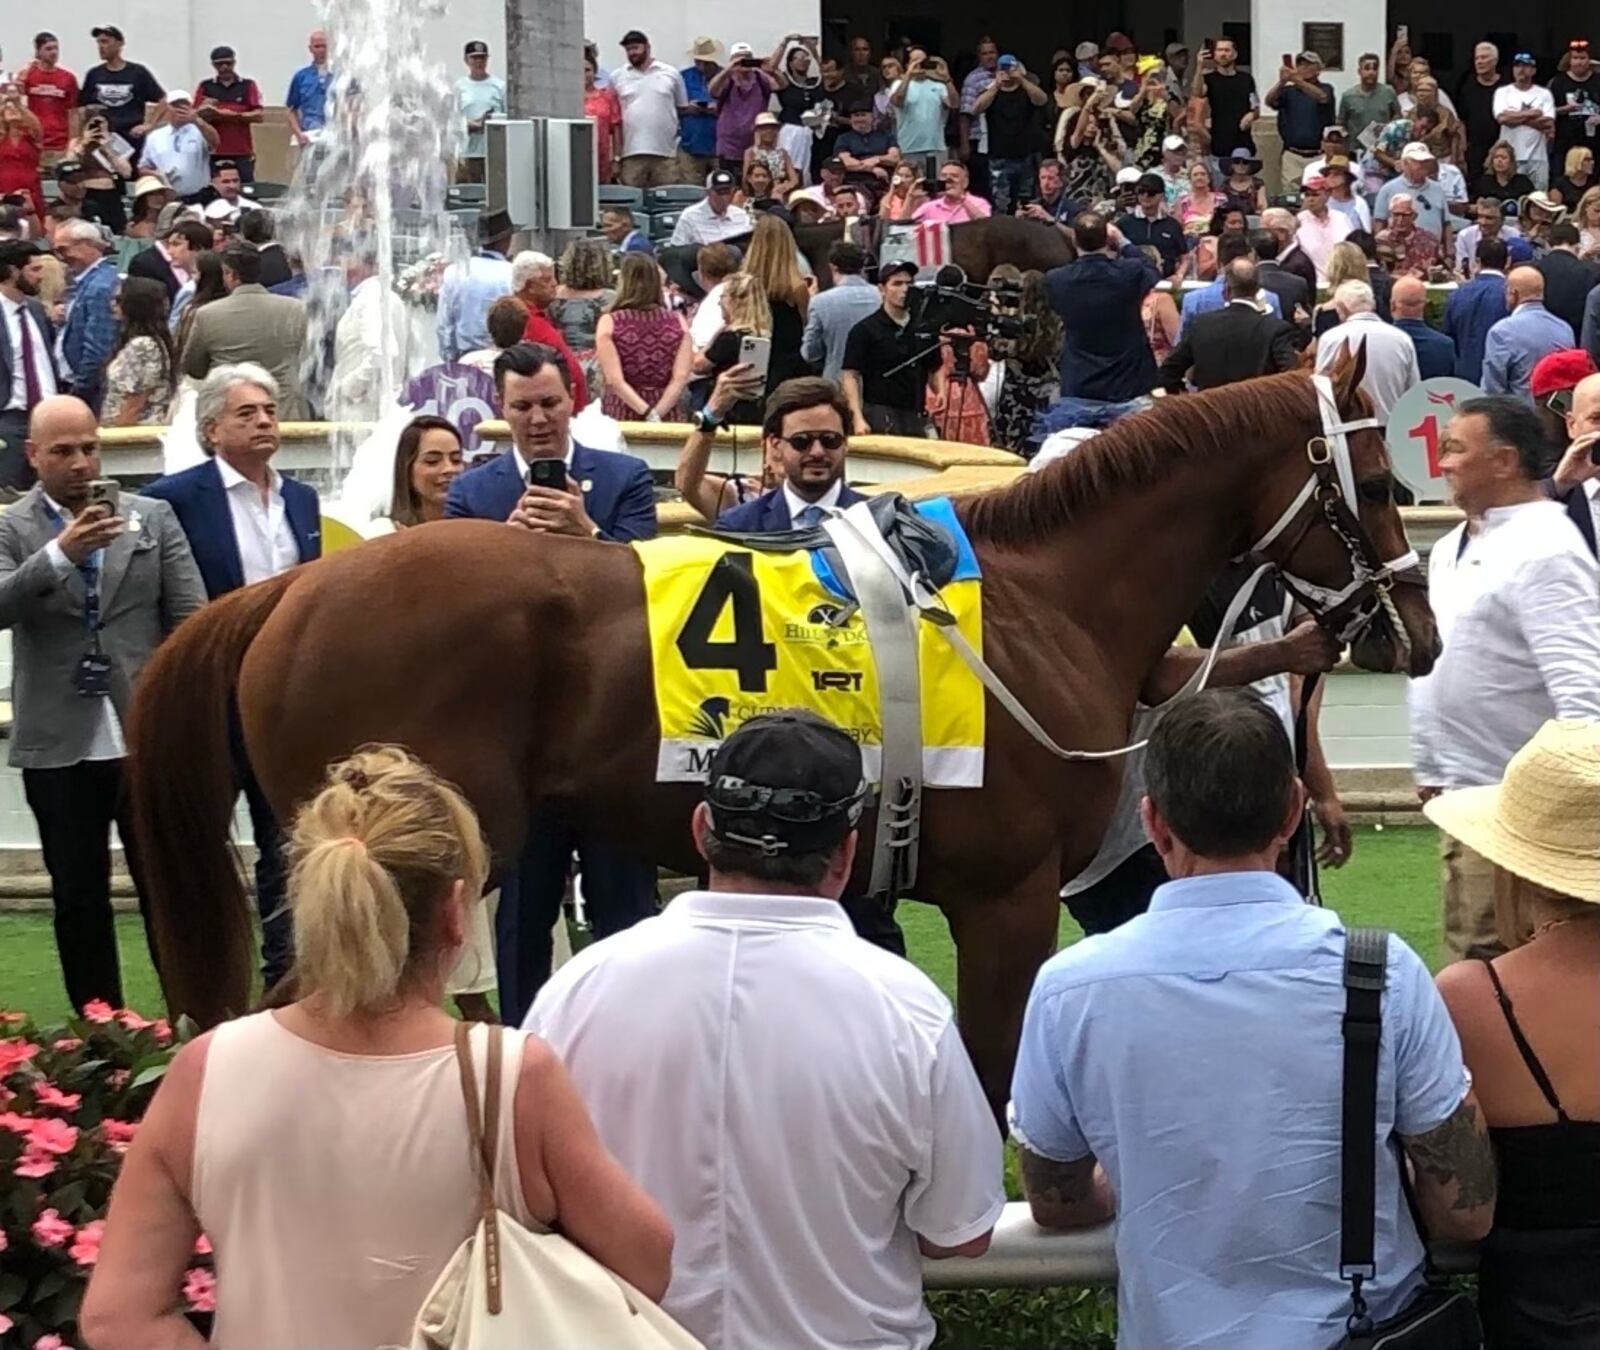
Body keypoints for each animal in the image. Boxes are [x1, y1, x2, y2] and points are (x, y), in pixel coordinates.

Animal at [128, 350, 1440, 1119]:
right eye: (1378, 485)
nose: (1413, 627)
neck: (1045, 596)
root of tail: (292, 589)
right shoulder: (1006, 900)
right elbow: (986, 1074)